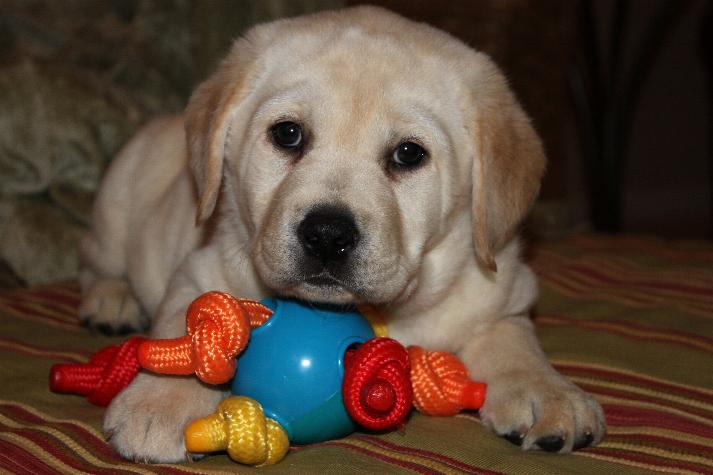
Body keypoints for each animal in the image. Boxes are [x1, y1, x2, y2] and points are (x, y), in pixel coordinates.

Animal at [80, 5, 604, 462]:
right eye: (287, 134)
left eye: (409, 154)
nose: (327, 235)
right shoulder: (200, 267)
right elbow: (186, 326)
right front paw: (162, 401)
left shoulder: (503, 291)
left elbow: (514, 338)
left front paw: (547, 391)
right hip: (117, 196)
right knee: (100, 262)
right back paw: (111, 301)